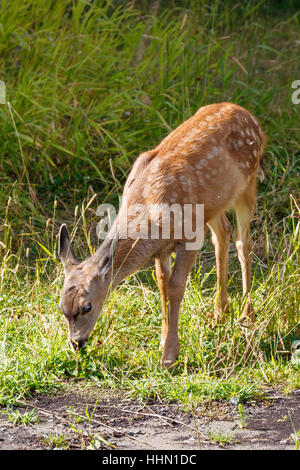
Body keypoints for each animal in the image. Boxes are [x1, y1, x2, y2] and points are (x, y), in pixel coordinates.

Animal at [58, 102, 264, 368]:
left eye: (87, 307)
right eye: (62, 308)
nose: (76, 343)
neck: (149, 206)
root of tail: (247, 113)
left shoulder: (190, 235)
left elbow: (176, 287)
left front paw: (169, 356)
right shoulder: (160, 247)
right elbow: (163, 285)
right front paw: (163, 342)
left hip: (248, 182)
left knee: (243, 242)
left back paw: (247, 315)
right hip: (213, 205)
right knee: (223, 233)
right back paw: (220, 313)